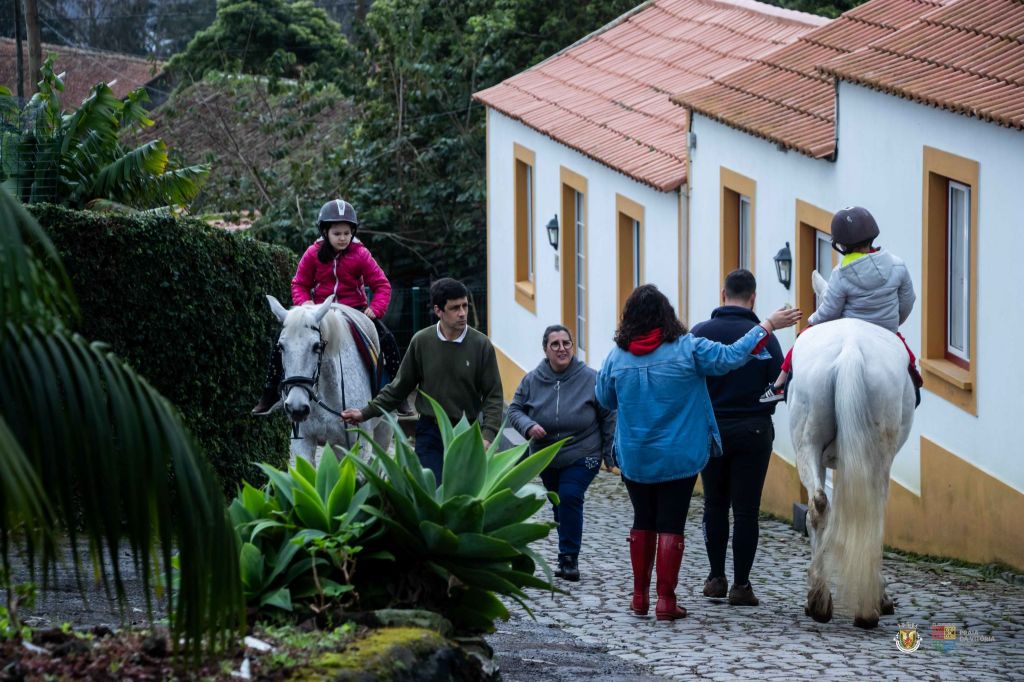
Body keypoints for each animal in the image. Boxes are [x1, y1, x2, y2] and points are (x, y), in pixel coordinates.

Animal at [266, 294, 392, 466]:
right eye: (280, 346)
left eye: (316, 346)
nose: (296, 408)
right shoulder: (303, 443)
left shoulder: (355, 447)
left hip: (385, 428)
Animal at [787, 271, 915, 629]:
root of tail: (850, 351)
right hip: (875, 456)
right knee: (869, 512)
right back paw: (864, 607)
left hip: (809, 446)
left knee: (820, 507)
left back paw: (820, 600)